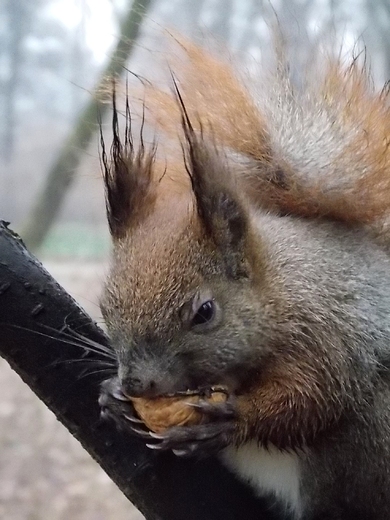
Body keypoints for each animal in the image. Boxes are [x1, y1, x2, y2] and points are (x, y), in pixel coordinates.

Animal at [97, 37, 390, 520]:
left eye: (205, 313)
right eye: (105, 307)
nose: (136, 383)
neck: (276, 291)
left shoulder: (328, 335)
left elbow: (312, 397)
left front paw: (237, 418)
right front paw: (110, 398)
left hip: (367, 444)